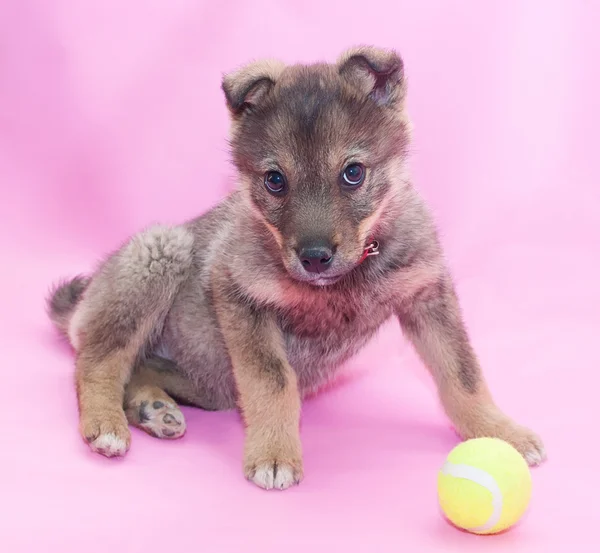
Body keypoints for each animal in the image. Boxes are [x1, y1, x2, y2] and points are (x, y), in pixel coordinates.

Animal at [48, 46, 544, 488]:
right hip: (161, 251)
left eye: (353, 173)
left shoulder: (427, 295)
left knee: (140, 368)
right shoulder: (239, 295)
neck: (344, 280)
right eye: (275, 180)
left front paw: (499, 431)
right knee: (98, 361)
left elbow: (463, 374)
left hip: (211, 384)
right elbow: (273, 382)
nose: (314, 257)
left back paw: (153, 408)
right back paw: (107, 423)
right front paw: (274, 454)